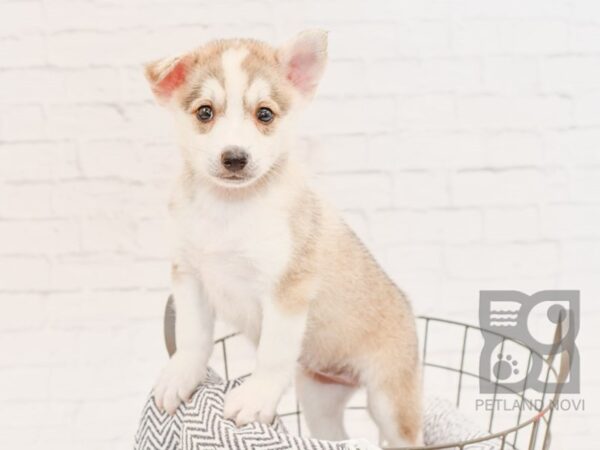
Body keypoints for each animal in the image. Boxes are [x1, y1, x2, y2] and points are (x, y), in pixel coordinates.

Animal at [146, 29, 422, 446]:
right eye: (205, 112)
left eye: (265, 114)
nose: (235, 158)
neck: (228, 208)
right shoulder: (190, 276)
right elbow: (193, 336)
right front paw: (180, 376)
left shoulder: (286, 290)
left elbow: (273, 354)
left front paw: (256, 398)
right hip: (318, 396)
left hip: (390, 400)